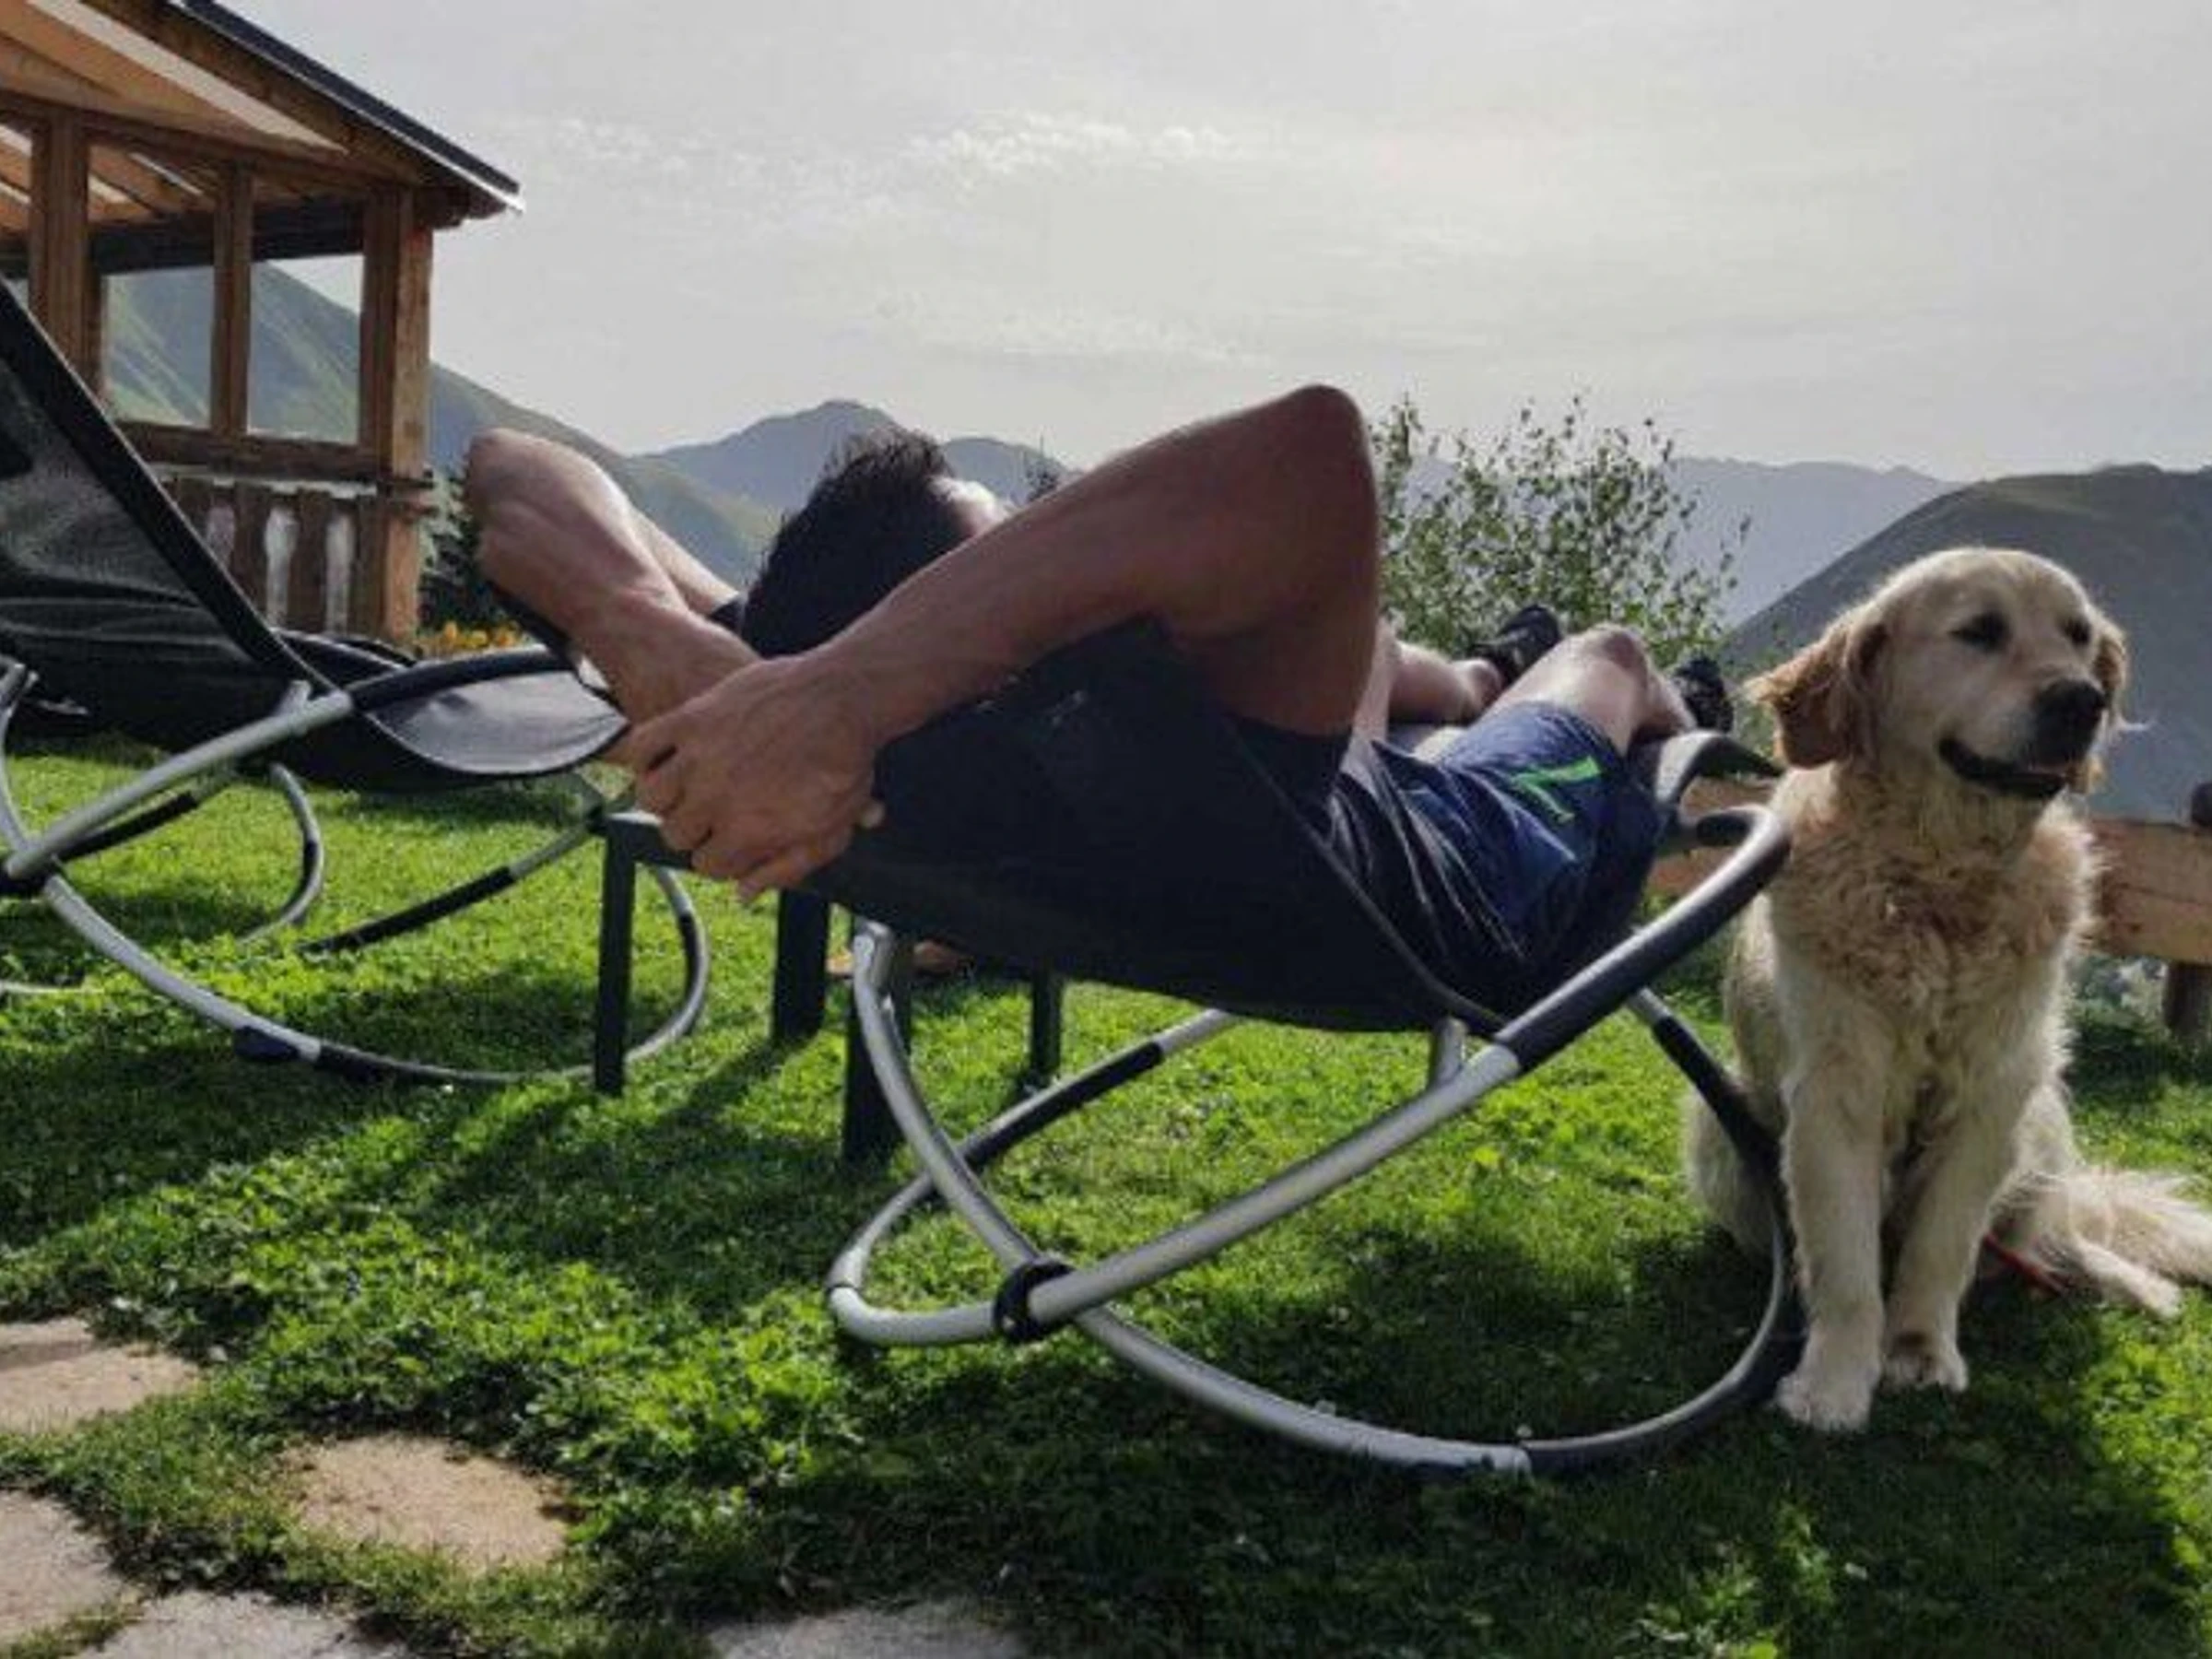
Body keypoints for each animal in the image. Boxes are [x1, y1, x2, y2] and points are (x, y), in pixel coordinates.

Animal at [1685, 545, 2212, 1432]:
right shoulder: (1837, 1092)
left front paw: (1920, 1352)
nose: (2084, 699)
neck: (1940, 882)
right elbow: (1845, 1261)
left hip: (2041, 1117)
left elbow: (1941, 1247)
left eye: (2079, 637)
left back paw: (2129, 1281)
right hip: (1719, 1135)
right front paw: (1835, 1379)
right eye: (1979, 632)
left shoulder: (1991, 1094)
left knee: (2057, 1232)